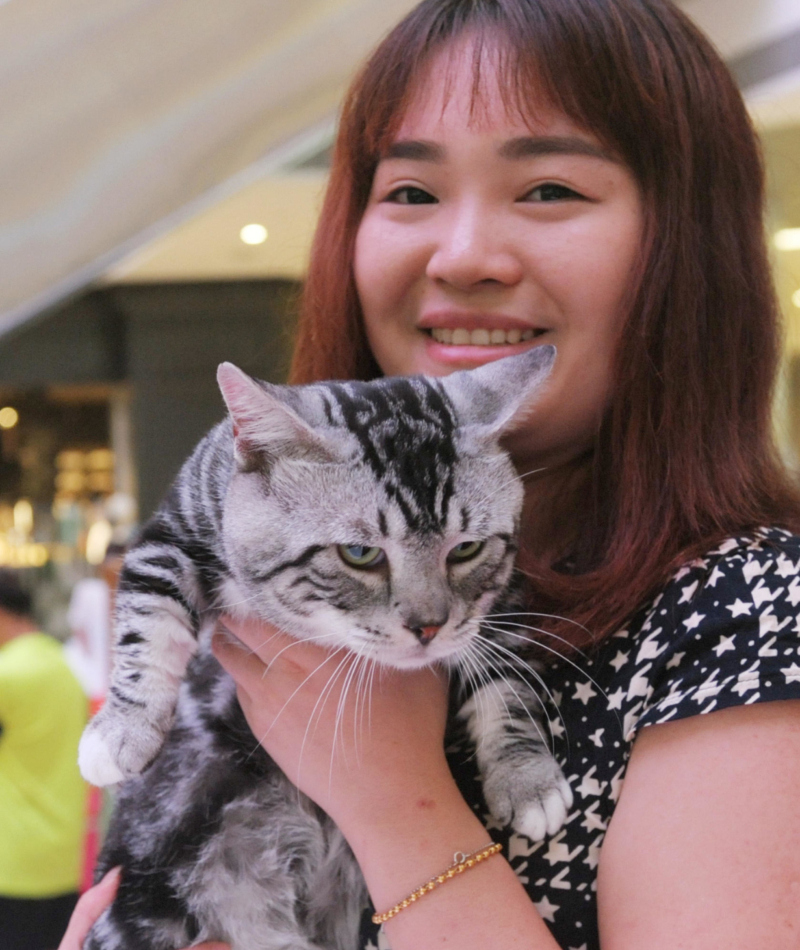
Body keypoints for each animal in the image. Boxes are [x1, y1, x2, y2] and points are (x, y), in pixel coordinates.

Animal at [79, 348, 568, 950]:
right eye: (360, 554)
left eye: (466, 550)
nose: (429, 626)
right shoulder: (170, 534)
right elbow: (146, 621)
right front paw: (121, 731)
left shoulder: (499, 601)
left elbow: (510, 684)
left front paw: (526, 778)